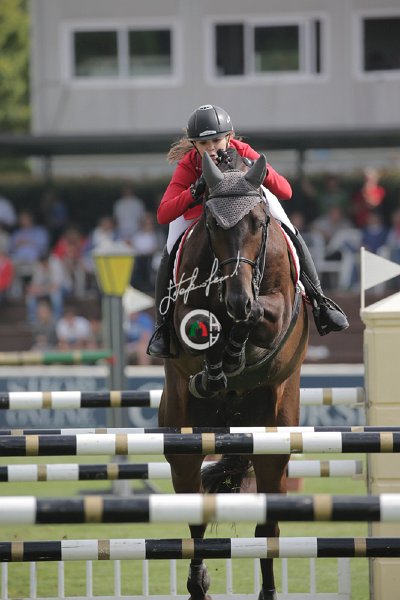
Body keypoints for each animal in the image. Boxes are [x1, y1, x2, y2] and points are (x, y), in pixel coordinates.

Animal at [158, 149, 309, 600]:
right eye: (211, 224)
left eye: (259, 222)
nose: (237, 297)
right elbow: (202, 323)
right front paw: (216, 362)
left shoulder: (276, 308)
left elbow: (259, 316)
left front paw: (236, 342)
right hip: (183, 439)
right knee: (195, 518)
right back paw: (198, 584)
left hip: (274, 440)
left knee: (268, 527)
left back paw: (269, 591)